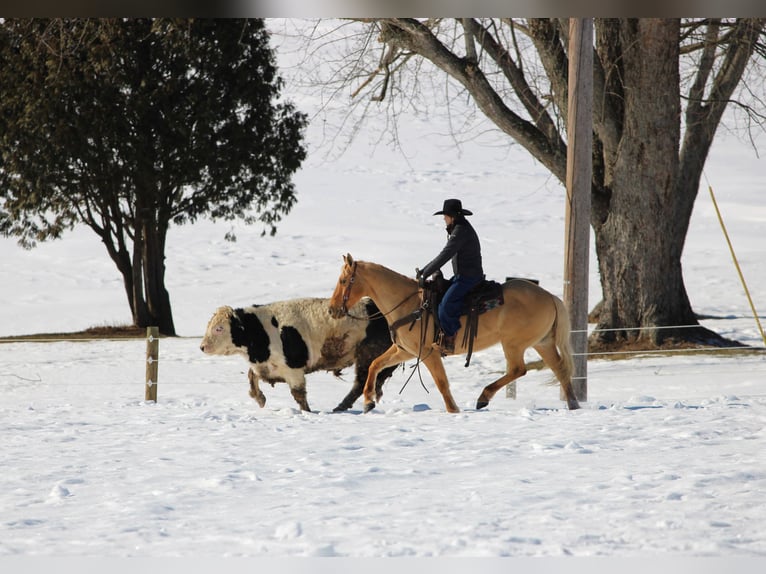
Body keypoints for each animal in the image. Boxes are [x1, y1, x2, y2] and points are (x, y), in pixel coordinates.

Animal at [328, 254, 580, 413]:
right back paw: (573, 404)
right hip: (542, 342)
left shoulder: (428, 353)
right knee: (558, 368)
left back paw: (483, 397)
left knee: (518, 369)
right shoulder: (404, 351)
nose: (332, 310)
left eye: (343, 280)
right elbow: (375, 365)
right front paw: (368, 401)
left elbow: (441, 382)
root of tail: (550, 297)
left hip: (513, 344)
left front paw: (453, 409)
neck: (410, 305)